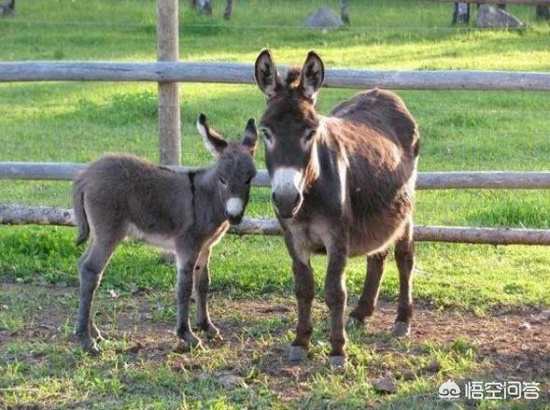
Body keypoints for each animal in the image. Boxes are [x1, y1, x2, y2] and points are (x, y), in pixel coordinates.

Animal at [73, 113, 258, 354]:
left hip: (98, 233)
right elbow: (184, 287)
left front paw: (206, 326)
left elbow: (203, 284)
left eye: (249, 179)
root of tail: (85, 175)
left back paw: (92, 331)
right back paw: (86, 340)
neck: (207, 198)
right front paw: (187, 335)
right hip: (109, 233)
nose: (234, 216)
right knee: (91, 270)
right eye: (222, 179)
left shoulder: (205, 247)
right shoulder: (187, 247)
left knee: (83, 266)